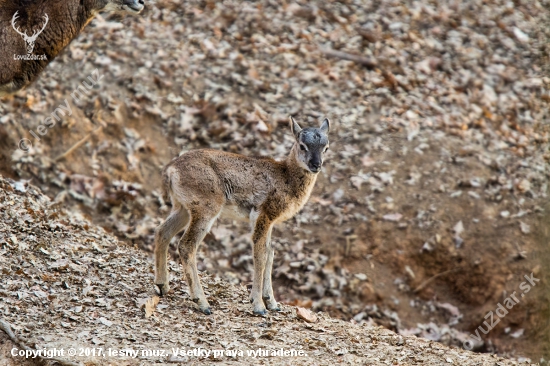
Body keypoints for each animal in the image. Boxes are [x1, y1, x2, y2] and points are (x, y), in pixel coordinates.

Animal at [155, 116, 330, 314]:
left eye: (326, 147)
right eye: (302, 145)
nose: (316, 165)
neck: (285, 177)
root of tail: (170, 170)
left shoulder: (270, 221)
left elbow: (270, 252)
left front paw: (272, 303)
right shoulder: (263, 215)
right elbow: (260, 254)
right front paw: (259, 306)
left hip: (182, 208)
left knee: (163, 232)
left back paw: (162, 286)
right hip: (206, 209)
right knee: (186, 245)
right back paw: (203, 303)